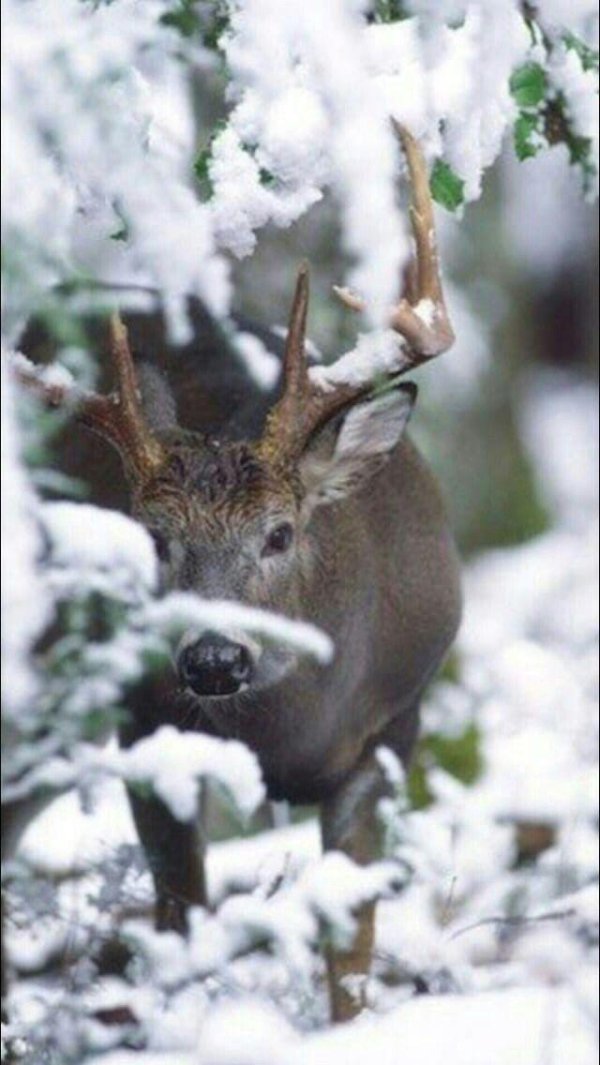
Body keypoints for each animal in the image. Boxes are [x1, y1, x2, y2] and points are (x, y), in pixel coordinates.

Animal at [8, 127, 461, 1023]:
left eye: (279, 532)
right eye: (153, 537)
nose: (214, 657)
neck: (288, 735)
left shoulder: (394, 724)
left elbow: (349, 947)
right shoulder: (147, 723)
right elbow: (179, 917)